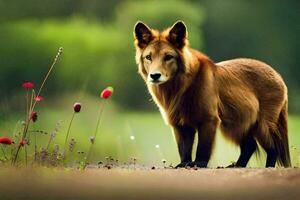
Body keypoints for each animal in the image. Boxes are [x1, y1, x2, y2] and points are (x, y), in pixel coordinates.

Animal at [134, 20, 290, 167]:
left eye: (168, 57)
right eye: (148, 57)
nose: (155, 76)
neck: (182, 87)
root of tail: (278, 76)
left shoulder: (209, 119)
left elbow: (203, 148)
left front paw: (198, 164)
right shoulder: (180, 124)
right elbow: (184, 148)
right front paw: (184, 164)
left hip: (261, 124)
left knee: (273, 148)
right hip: (238, 123)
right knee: (250, 146)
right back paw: (235, 166)